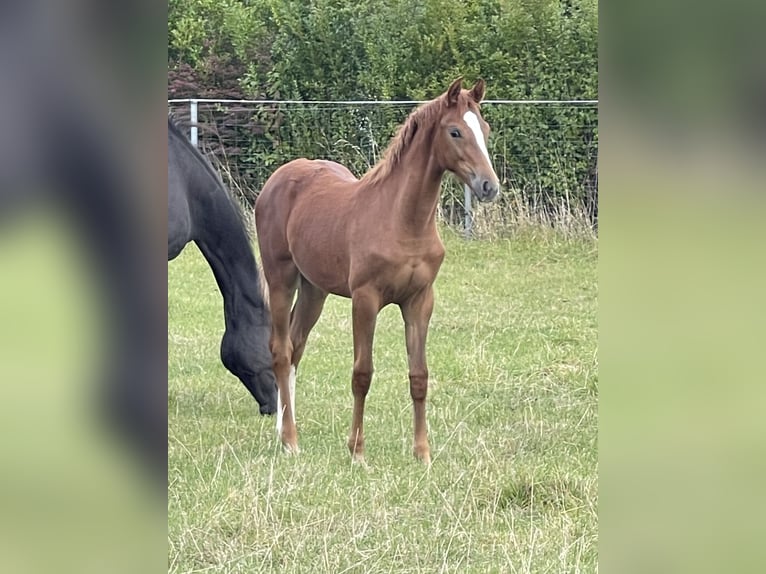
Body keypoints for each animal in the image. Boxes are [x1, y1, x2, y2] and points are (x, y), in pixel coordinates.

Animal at [255, 77, 500, 464]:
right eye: (455, 131)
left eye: (485, 129)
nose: (489, 187)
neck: (402, 221)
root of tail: (278, 178)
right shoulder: (365, 300)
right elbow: (362, 374)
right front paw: (357, 451)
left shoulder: (419, 301)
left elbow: (419, 376)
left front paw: (422, 453)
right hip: (282, 279)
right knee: (280, 351)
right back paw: (290, 441)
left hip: (314, 289)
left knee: (295, 347)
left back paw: (284, 431)